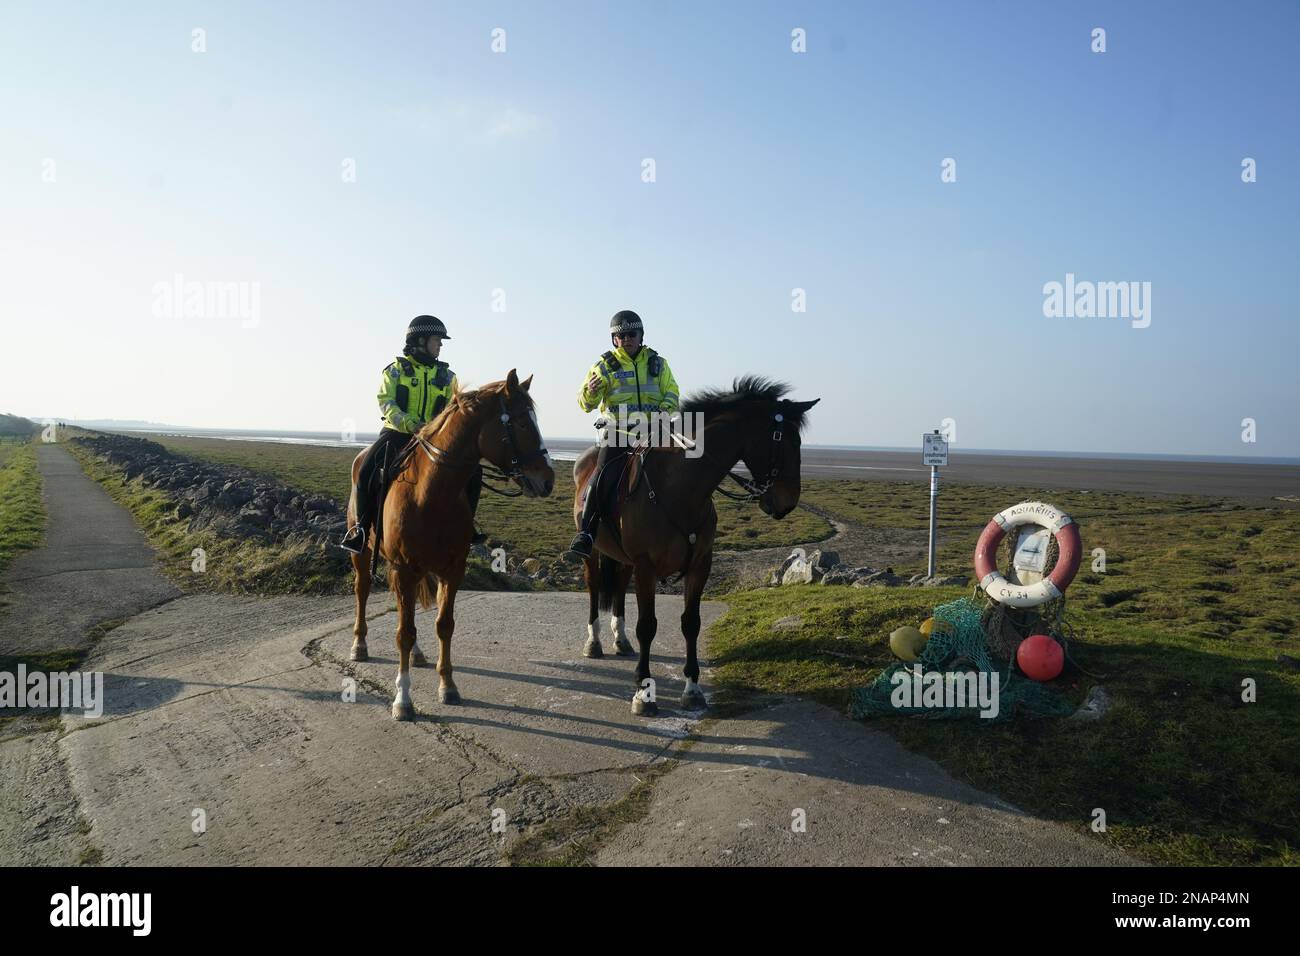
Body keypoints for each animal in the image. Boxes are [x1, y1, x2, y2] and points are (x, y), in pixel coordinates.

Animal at [345, 369, 553, 723]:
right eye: (522, 423)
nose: (548, 480)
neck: (431, 494)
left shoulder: (451, 570)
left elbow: (443, 625)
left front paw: (448, 686)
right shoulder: (404, 568)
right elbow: (404, 632)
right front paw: (403, 699)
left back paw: (417, 655)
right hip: (364, 555)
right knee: (362, 592)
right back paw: (359, 645)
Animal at [574, 377, 816, 712]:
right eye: (787, 442)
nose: (788, 501)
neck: (679, 487)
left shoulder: (700, 564)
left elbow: (691, 623)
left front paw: (692, 689)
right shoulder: (647, 567)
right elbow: (647, 625)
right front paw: (643, 692)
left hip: (624, 559)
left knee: (620, 587)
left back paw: (621, 640)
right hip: (593, 552)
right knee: (595, 587)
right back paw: (594, 642)